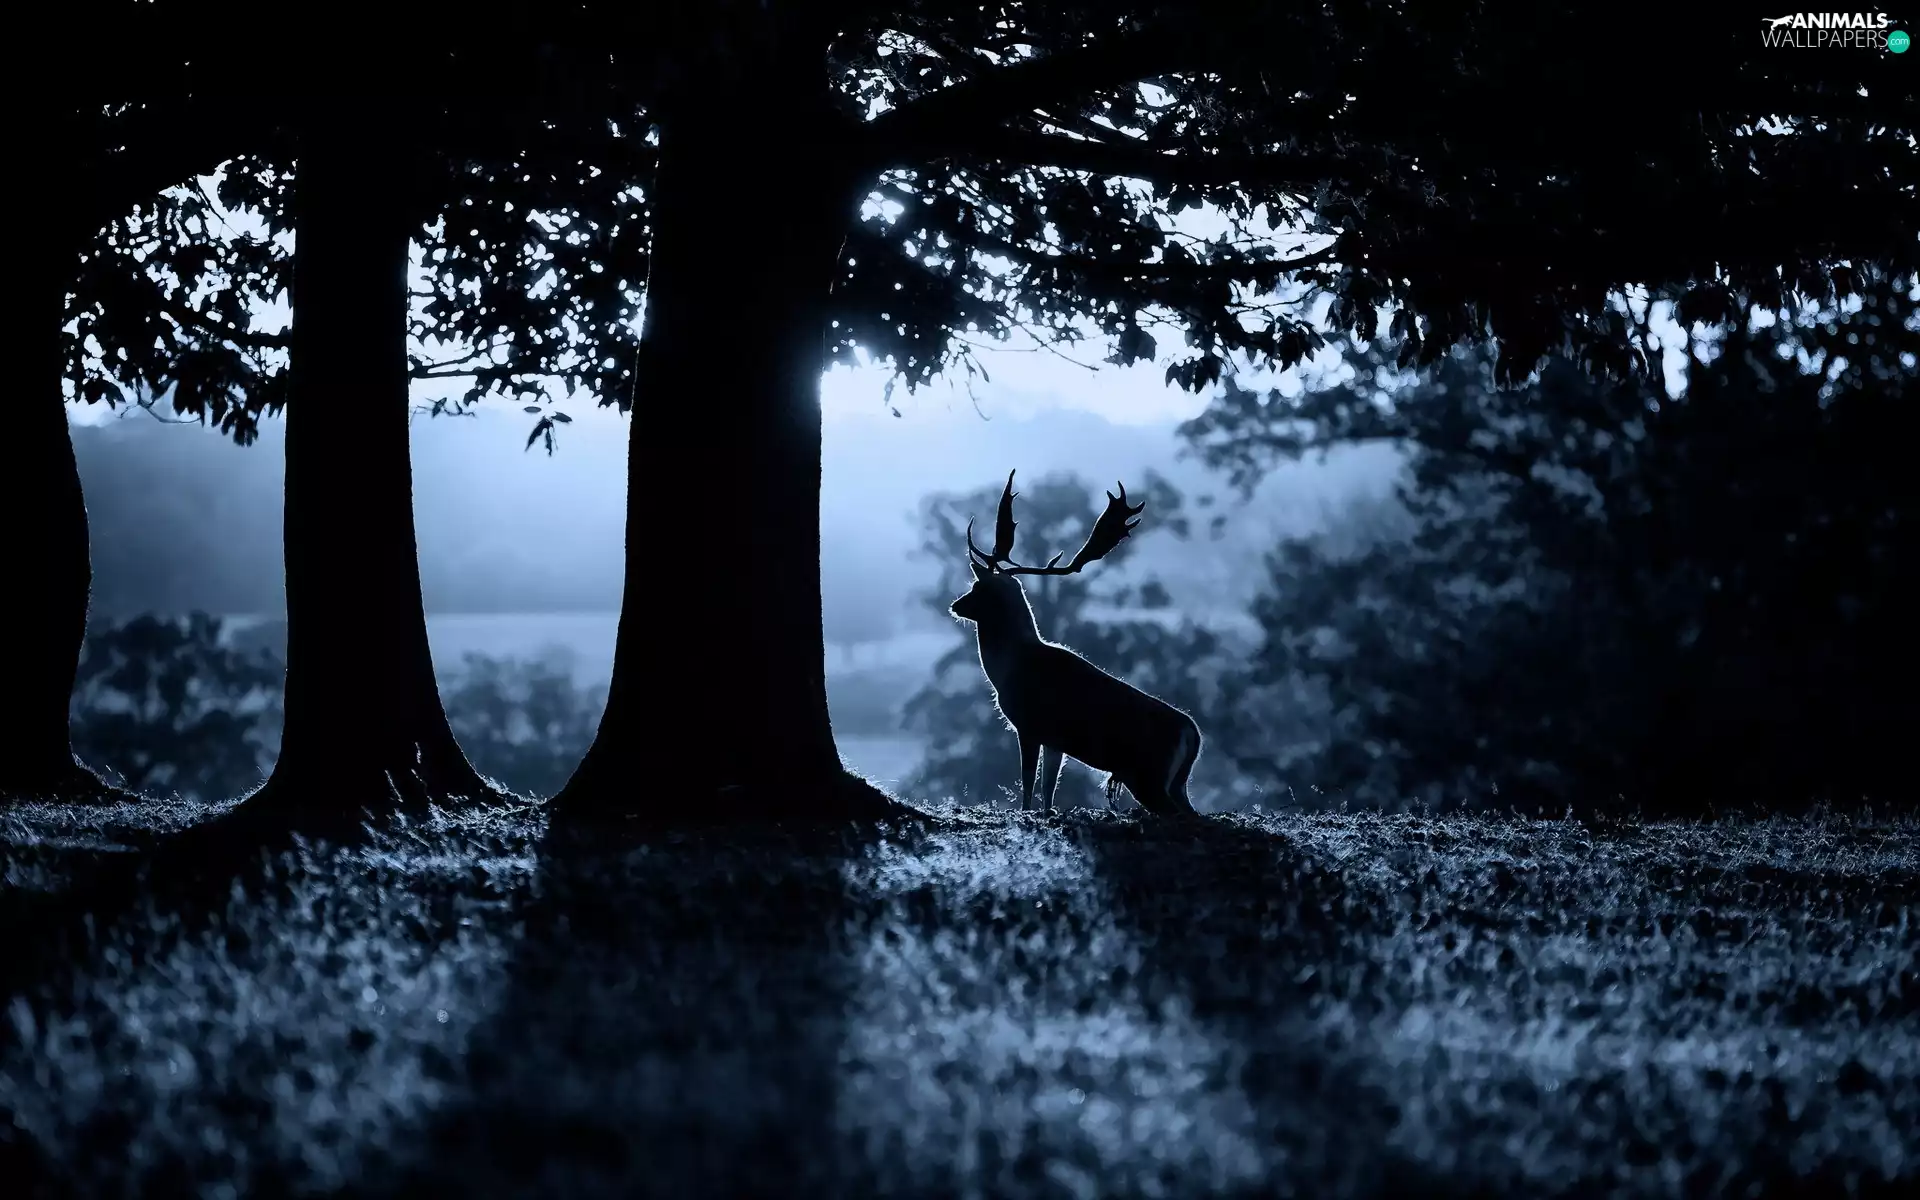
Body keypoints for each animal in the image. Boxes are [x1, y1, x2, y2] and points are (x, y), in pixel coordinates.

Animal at [947, 470, 1203, 818]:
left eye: (979, 588)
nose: (955, 605)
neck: (1009, 668)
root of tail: (1193, 735)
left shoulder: (1030, 724)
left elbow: (1028, 781)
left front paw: (1025, 813)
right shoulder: (1056, 741)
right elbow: (1049, 788)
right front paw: (1047, 812)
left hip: (1148, 775)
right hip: (1176, 782)